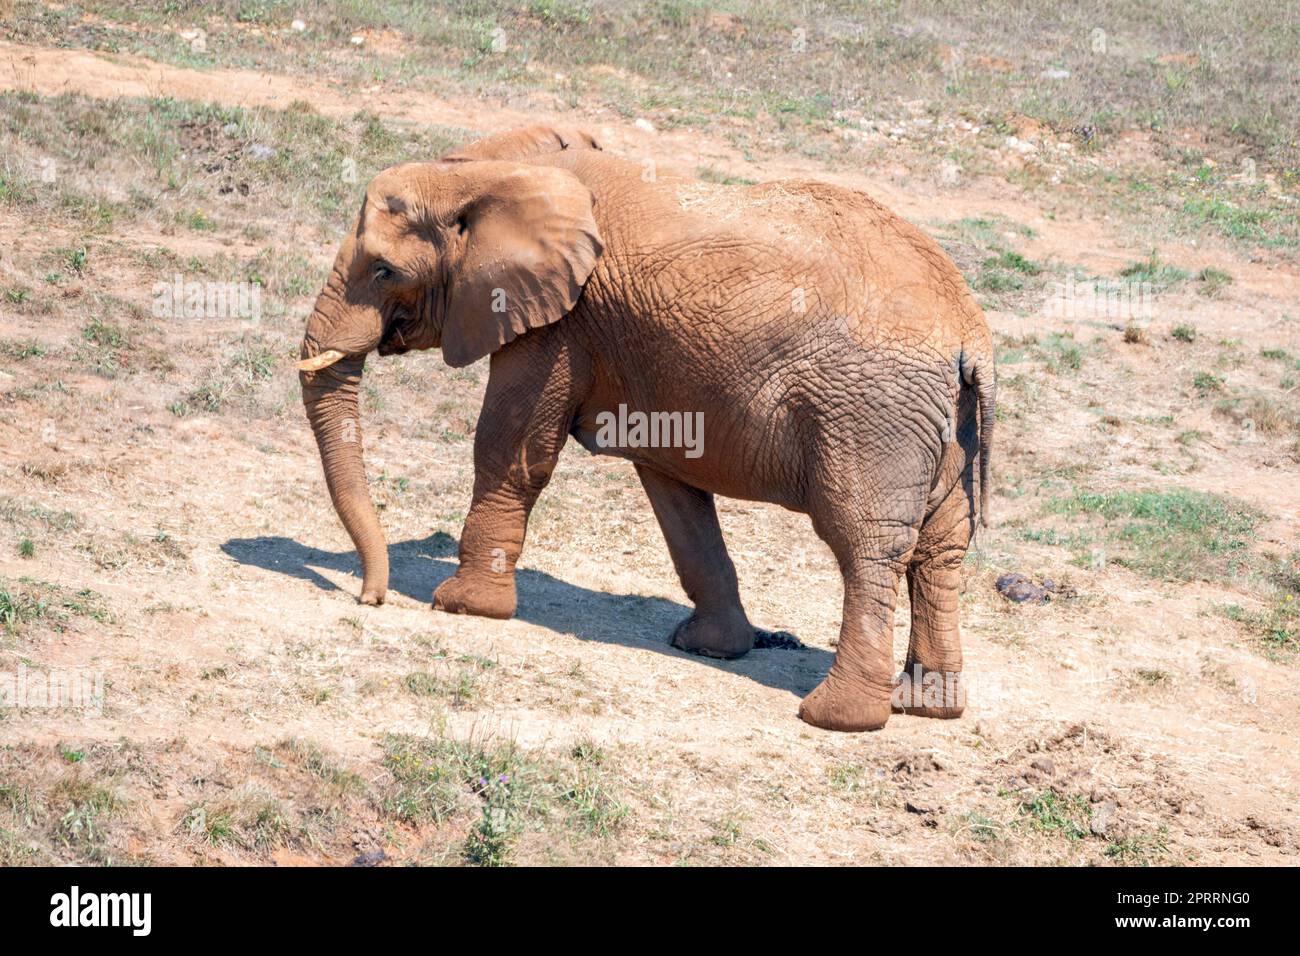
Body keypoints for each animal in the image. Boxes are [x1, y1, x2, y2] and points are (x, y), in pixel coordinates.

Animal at [299, 123, 993, 728]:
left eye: (384, 270)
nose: (371, 598)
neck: (487, 171)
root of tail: (970, 334)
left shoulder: (560, 321)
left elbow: (511, 447)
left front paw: (460, 604)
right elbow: (672, 485)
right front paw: (709, 646)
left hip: (872, 419)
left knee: (866, 543)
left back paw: (837, 718)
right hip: (939, 428)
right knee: (940, 547)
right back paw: (927, 707)